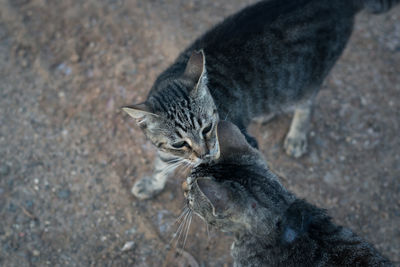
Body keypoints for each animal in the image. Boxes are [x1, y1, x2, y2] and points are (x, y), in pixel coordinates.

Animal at [123, 0, 398, 200]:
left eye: (207, 128)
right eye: (179, 143)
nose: (205, 153)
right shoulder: (169, 151)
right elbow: (162, 163)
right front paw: (152, 183)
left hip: (303, 82)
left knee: (307, 104)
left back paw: (297, 135)